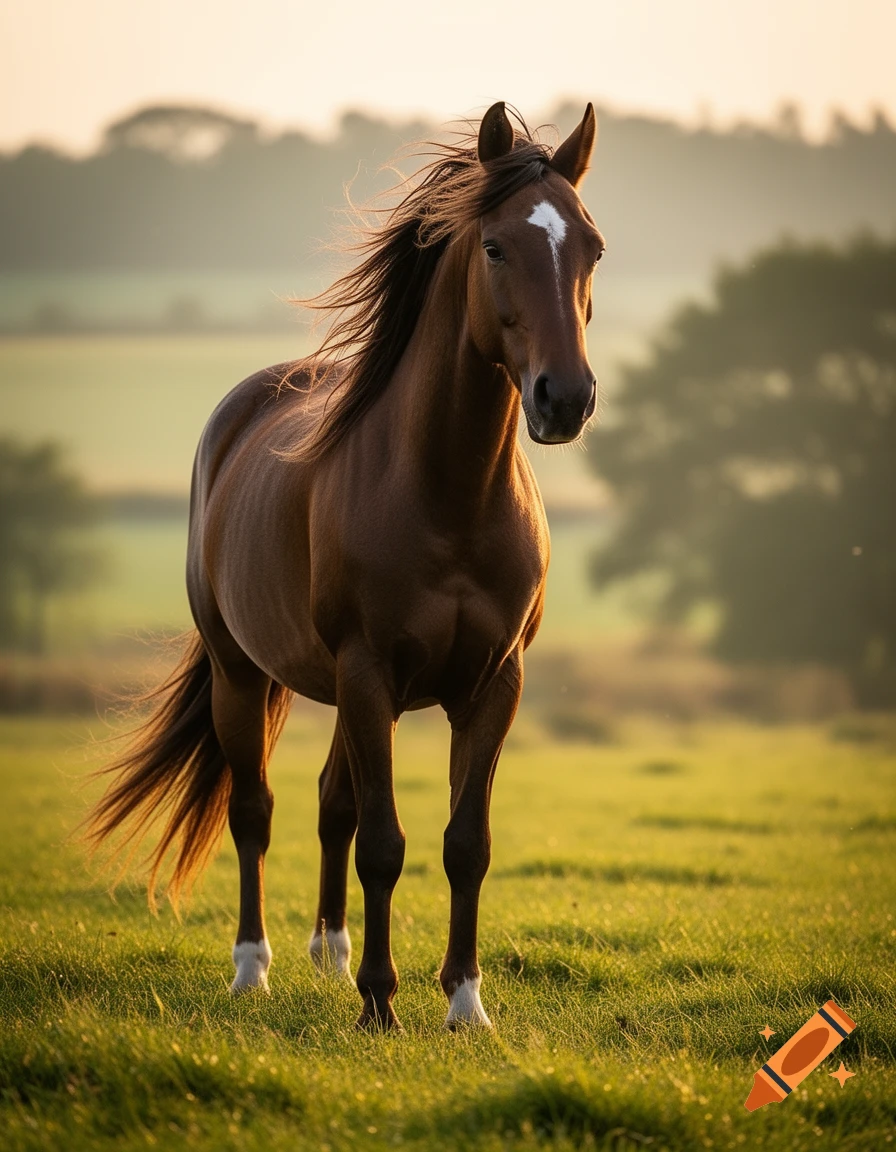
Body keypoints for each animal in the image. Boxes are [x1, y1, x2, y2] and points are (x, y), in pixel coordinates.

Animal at [86, 101, 604, 1031]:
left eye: (593, 246)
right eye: (496, 246)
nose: (566, 398)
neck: (447, 495)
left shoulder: (493, 684)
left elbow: (463, 844)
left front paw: (464, 1005)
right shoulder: (367, 673)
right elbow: (385, 843)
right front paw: (379, 1007)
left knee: (332, 802)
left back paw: (329, 952)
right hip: (243, 674)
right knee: (255, 810)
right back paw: (253, 968)